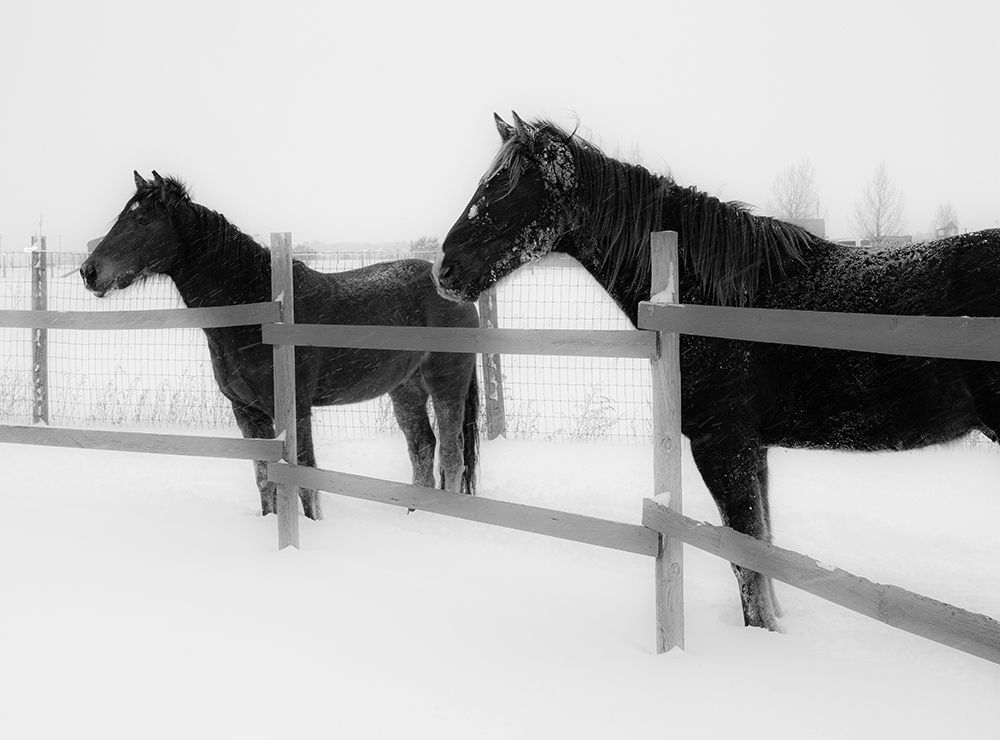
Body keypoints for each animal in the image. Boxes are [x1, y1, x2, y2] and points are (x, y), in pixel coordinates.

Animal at [82, 172, 480, 520]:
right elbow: (264, 479)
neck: (259, 311)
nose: (89, 272)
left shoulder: (294, 411)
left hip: (447, 385)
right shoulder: (247, 411)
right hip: (406, 389)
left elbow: (305, 481)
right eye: (123, 217)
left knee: (451, 456)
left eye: (144, 220)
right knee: (422, 450)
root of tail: (451, 286)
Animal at [434, 112, 1000, 632]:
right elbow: (762, 550)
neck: (709, 298)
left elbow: (746, 559)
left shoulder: (721, 443)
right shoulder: (751, 445)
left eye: (505, 187)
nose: (445, 271)